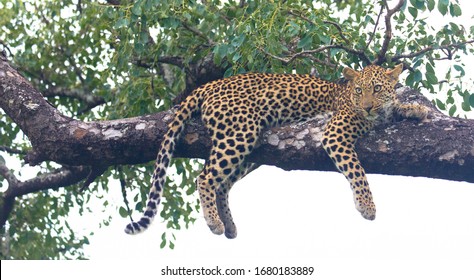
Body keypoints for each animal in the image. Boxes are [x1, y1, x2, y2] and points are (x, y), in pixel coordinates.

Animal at [124, 63, 428, 238]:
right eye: (358, 91)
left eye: (376, 89)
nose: (366, 107)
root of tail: (211, 84)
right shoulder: (334, 134)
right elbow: (357, 171)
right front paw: (367, 206)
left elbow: (397, 107)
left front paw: (415, 109)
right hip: (240, 133)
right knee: (205, 177)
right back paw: (214, 223)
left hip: (249, 149)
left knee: (222, 183)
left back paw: (229, 225)